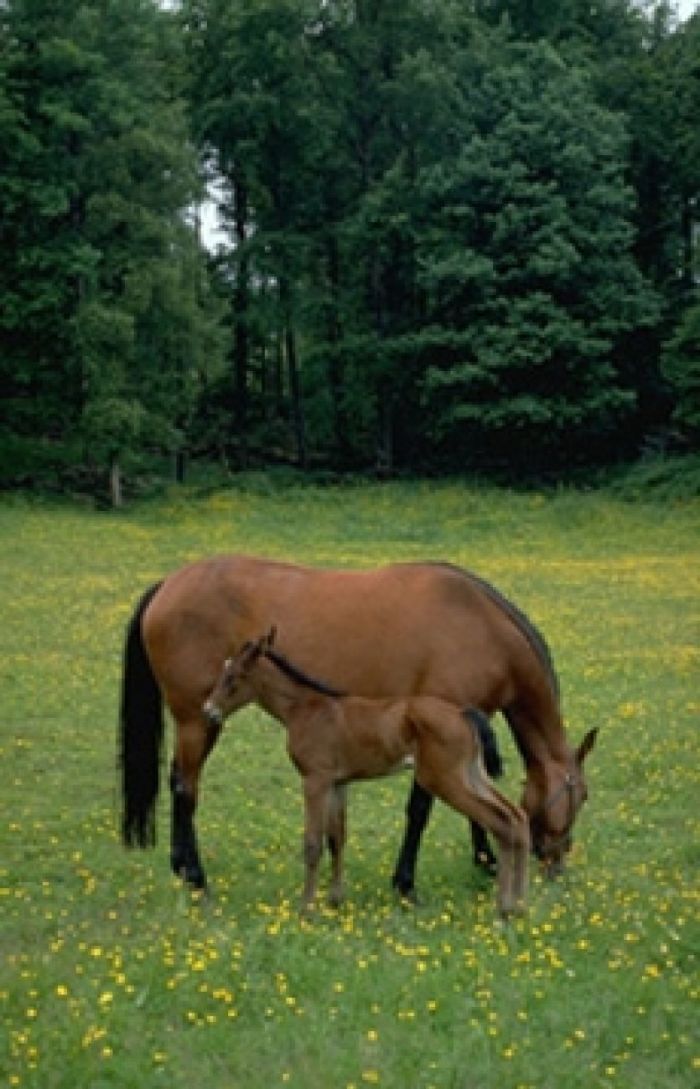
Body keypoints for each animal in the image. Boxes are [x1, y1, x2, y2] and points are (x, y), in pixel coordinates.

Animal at [203, 631, 531, 919]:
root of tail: (464, 713)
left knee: (500, 822)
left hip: (443, 780)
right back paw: (519, 903)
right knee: (517, 816)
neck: (307, 709)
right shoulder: (338, 783)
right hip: (472, 774)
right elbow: (337, 837)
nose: (209, 711)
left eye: (232, 678)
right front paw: (335, 900)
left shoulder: (315, 779)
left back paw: (504, 906)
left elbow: (313, 843)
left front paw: (306, 908)